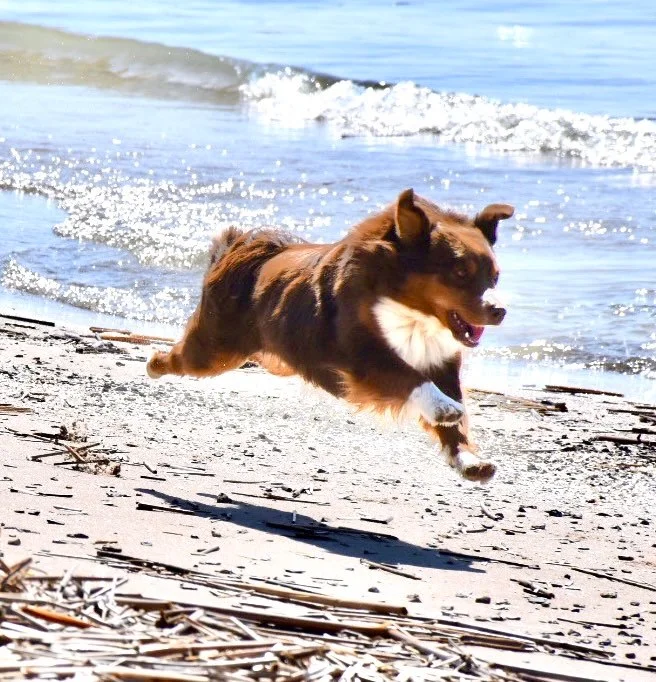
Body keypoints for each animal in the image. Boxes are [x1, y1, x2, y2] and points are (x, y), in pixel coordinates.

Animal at [147, 189, 512, 480]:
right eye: (460, 272)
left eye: (495, 276)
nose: (499, 311)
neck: (411, 313)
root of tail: (240, 247)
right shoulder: (359, 357)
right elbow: (409, 377)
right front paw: (443, 408)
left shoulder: (442, 361)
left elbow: (455, 419)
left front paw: (469, 460)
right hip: (215, 350)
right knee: (180, 358)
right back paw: (153, 364)